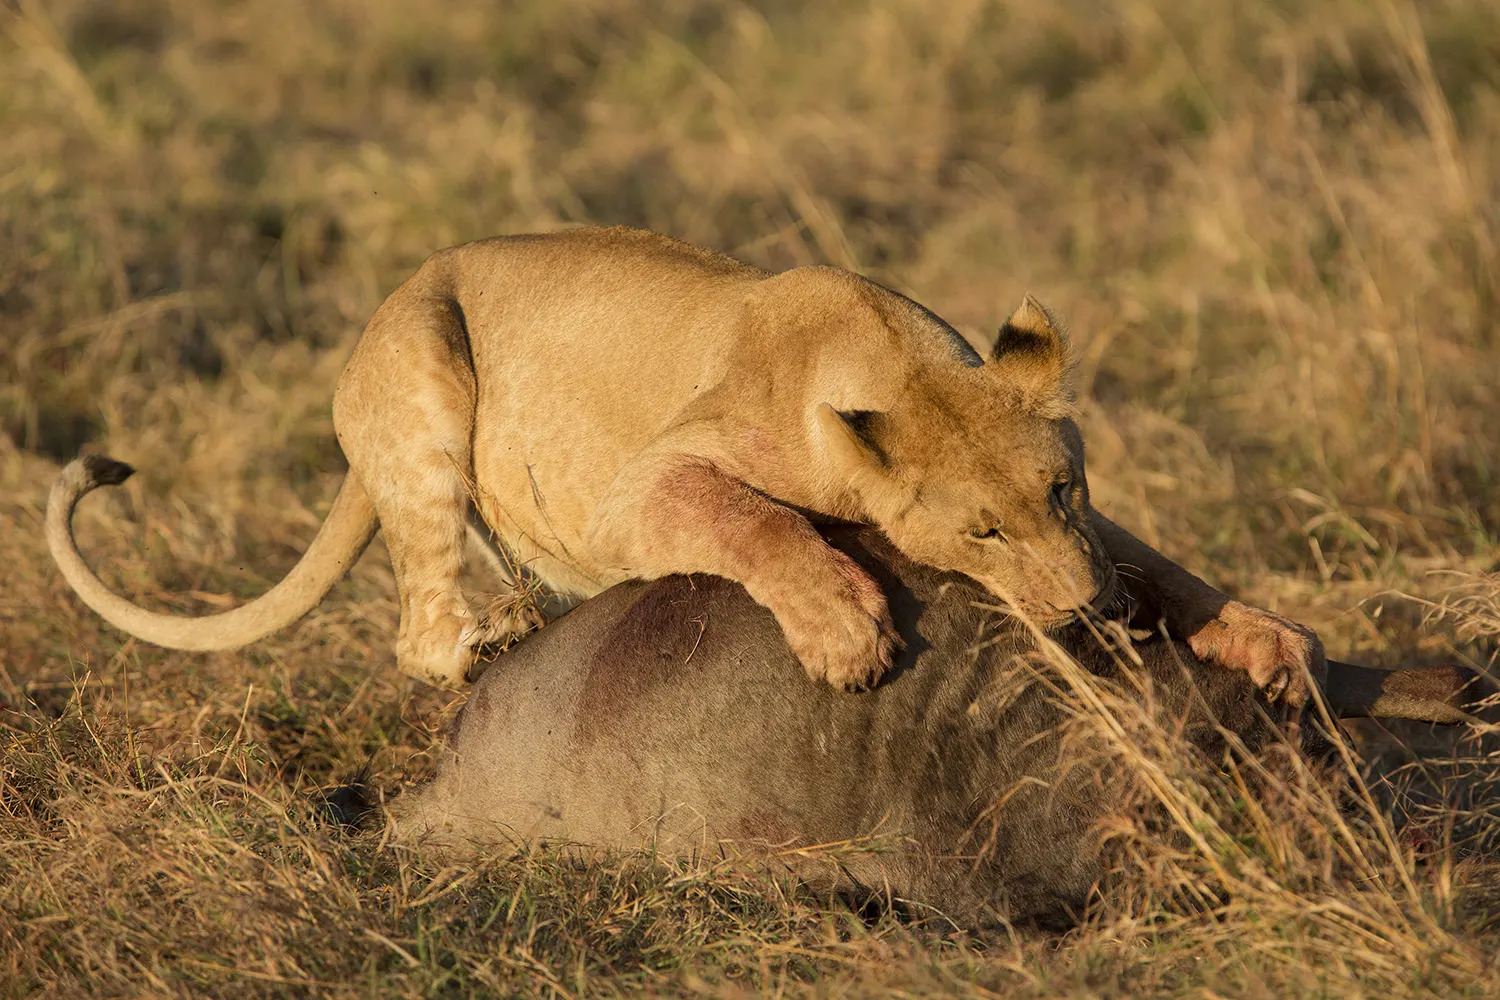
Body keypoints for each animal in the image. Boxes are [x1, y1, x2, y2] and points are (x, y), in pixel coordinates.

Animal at [41, 223, 1320, 701]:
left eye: (1062, 488)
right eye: (982, 533)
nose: (1084, 613)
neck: (890, 360)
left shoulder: (1097, 537)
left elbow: (1158, 563)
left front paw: (1266, 639)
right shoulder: (638, 491)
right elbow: (752, 519)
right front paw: (844, 626)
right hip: (425, 379)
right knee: (419, 632)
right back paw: (492, 636)